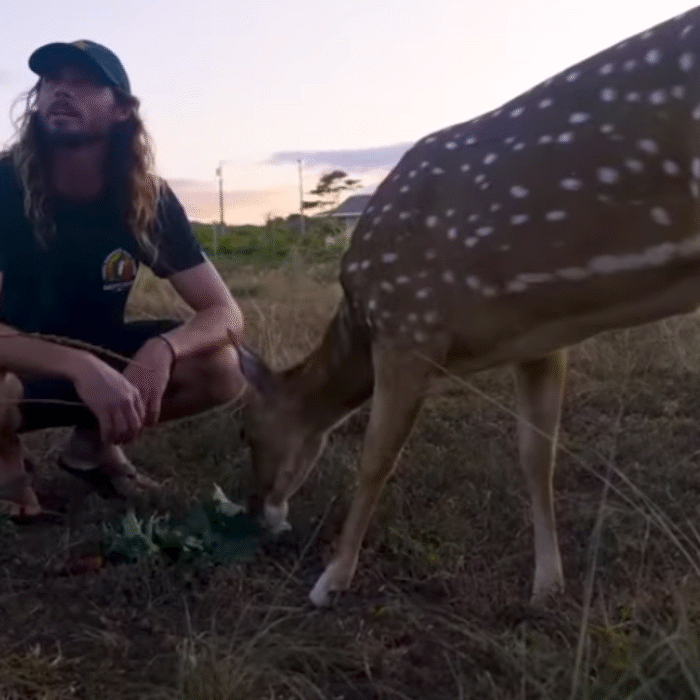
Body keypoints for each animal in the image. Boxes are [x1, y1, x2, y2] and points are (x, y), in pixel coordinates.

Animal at [234, 5, 700, 606]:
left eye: (246, 427)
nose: (257, 511)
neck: (359, 317)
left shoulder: (409, 323)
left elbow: (375, 459)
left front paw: (331, 580)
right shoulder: (543, 337)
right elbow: (537, 456)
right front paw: (547, 584)